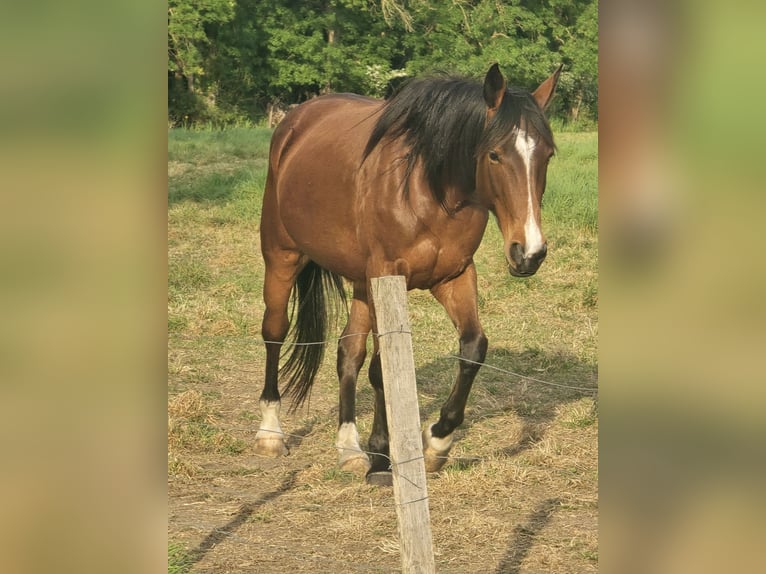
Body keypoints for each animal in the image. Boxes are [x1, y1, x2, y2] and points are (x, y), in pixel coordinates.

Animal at [254, 63, 562, 484]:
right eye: (495, 155)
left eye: (548, 154)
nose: (528, 253)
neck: (428, 188)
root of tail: (295, 121)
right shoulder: (387, 276)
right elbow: (383, 369)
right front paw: (383, 458)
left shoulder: (454, 277)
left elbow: (473, 349)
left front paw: (435, 444)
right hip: (282, 257)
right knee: (275, 332)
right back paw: (270, 433)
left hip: (361, 282)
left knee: (348, 352)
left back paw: (349, 448)